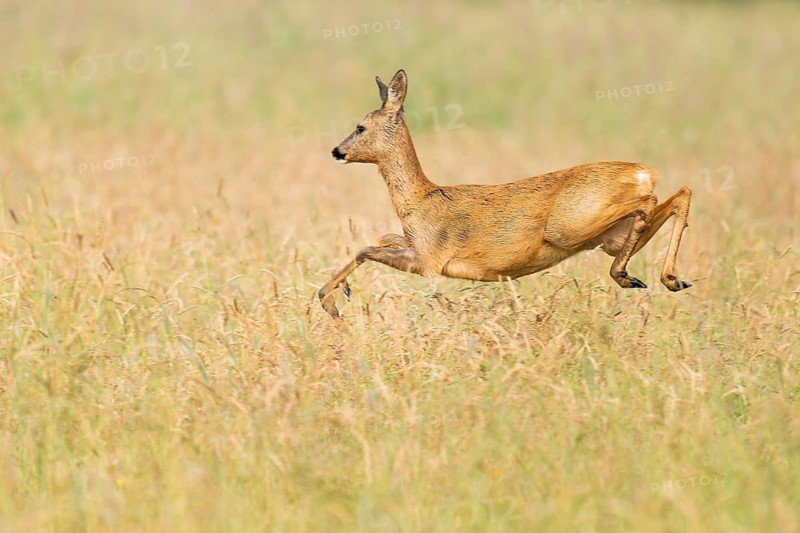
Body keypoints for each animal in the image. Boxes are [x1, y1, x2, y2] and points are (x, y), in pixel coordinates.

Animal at [318, 69, 692, 319]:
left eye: (360, 127)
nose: (337, 151)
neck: (419, 199)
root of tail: (642, 172)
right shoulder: (416, 247)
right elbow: (381, 238)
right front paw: (338, 292)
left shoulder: (429, 260)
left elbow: (366, 248)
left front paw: (329, 300)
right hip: (609, 237)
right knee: (679, 194)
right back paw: (669, 280)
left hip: (571, 225)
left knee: (651, 200)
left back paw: (631, 276)